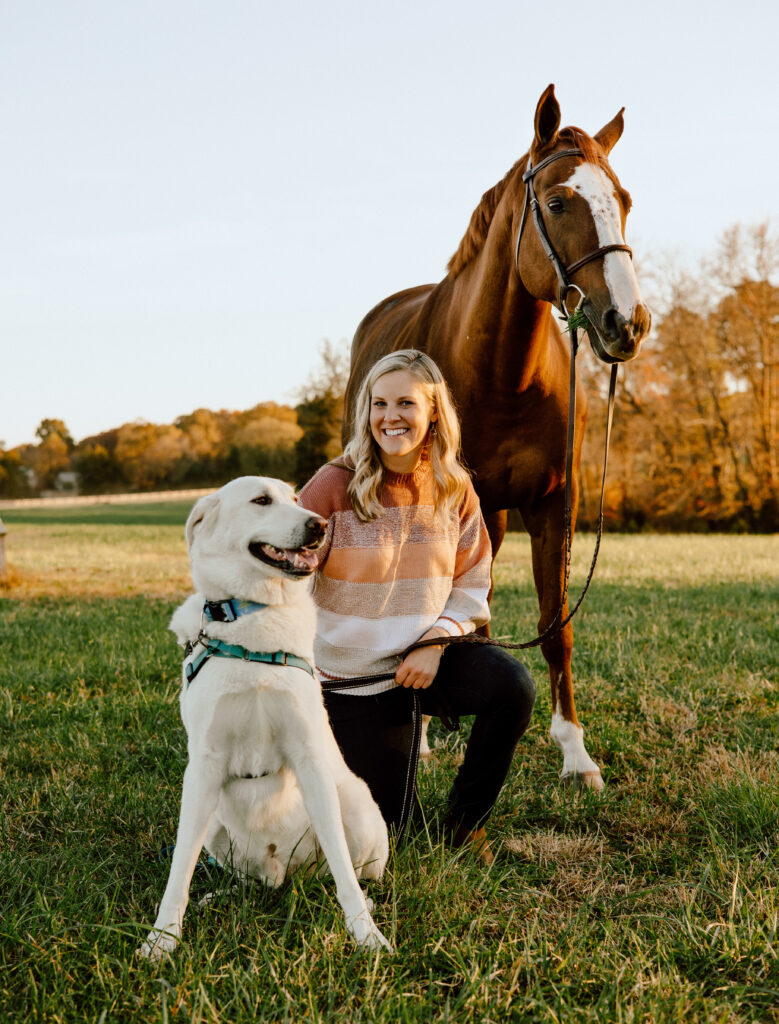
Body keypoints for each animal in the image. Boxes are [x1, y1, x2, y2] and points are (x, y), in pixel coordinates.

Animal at [139, 475, 388, 954]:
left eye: (295, 498)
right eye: (261, 500)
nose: (319, 525)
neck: (254, 621)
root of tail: (280, 871)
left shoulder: (309, 756)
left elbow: (344, 873)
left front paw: (365, 934)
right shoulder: (202, 768)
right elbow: (180, 867)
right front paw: (162, 940)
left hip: (357, 806)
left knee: (345, 871)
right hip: (214, 825)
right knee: (243, 878)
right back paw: (220, 895)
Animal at [343, 90, 651, 790]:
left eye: (623, 201)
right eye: (558, 203)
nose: (627, 322)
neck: (504, 374)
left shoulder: (551, 506)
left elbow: (554, 626)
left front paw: (576, 756)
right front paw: (425, 734)